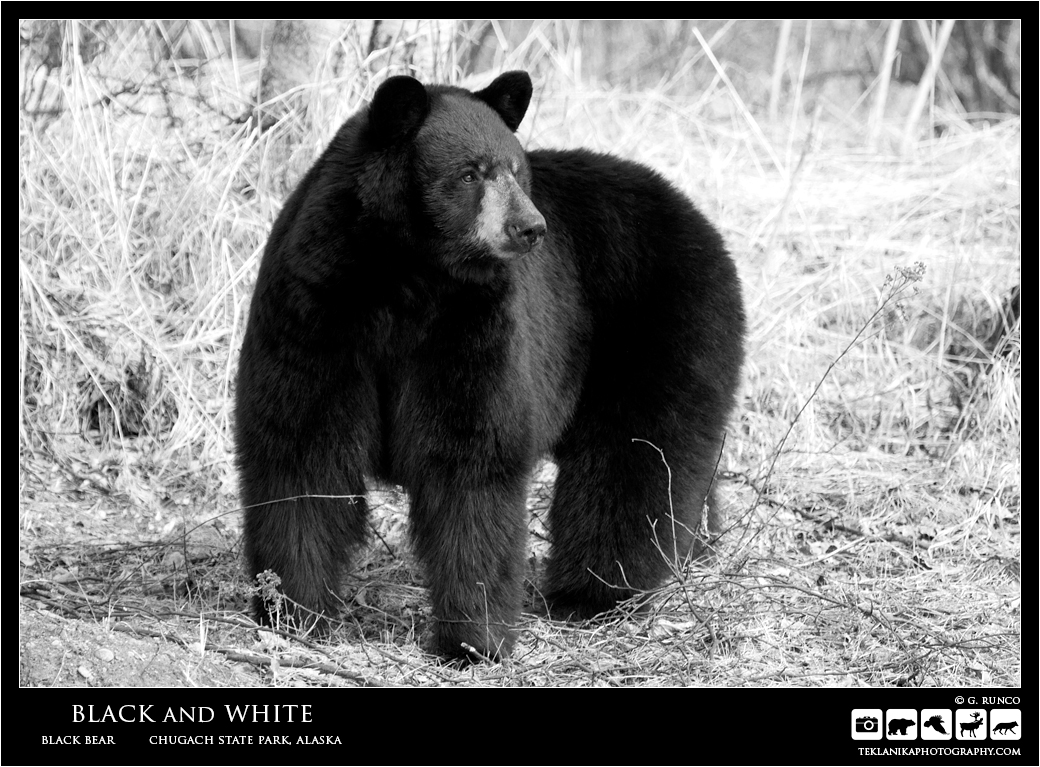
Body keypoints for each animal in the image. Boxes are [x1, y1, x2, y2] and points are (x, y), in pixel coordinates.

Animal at [235, 70, 745, 662]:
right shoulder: (317, 304)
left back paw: (596, 593)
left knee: (638, 455)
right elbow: (301, 445)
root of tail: (692, 209)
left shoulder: (472, 321)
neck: (405, 275)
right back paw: (695, 549)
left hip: (661, 321)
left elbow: (471, 457)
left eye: (517, 170)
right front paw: (292, 609)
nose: (531, 227)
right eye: (469, 172)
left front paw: (473, 638)